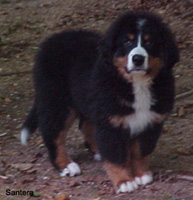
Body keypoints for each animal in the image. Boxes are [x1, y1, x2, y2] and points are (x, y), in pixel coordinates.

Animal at [20, 11, 179, 193]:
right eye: (127, 41)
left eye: (149, 41)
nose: (138, 59)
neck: (136, 83)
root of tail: (55, 38)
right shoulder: (111, 122)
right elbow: (117, 156)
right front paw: (124, 181)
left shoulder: (150, 121)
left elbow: (140, 151)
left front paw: (141, 174)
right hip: (57, 100)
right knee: (53, 134)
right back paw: (65, 165)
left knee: (86, 125)